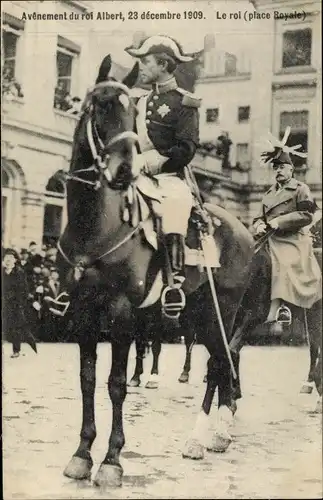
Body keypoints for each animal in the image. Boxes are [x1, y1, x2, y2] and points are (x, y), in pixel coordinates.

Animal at [57, 55, 256, 488]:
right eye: (100, 105)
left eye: (132, 111)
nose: (124, 170)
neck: (96, 226)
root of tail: (244, 229)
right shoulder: (82, 311)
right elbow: (86, 380)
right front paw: (81, 454)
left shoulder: (120, 312)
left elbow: (115, 384)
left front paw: (111, 460)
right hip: (196, 313)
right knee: (219, 365)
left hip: (219, 312)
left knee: (220, 364)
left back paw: (205, 437)